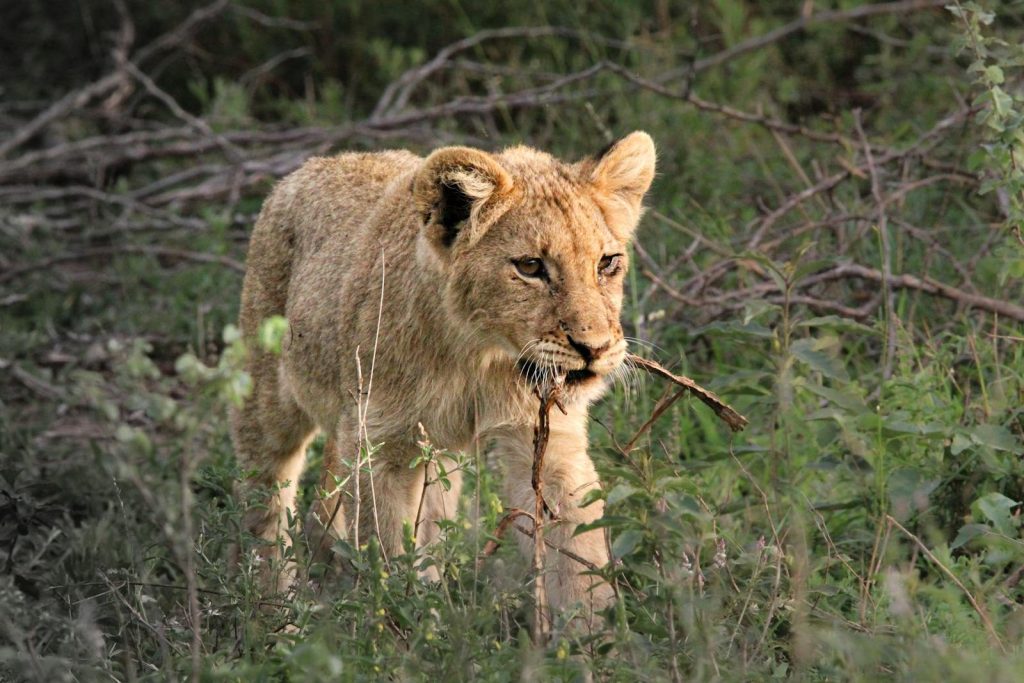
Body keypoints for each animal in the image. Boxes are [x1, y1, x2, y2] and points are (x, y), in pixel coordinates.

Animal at [231, 132, 656, 626]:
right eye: (530, 267)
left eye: (607, 263)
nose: (595, 348)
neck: (478, 356)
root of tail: (319, 163)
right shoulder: (380, 445)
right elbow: (387, 553)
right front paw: (401, 629)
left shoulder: (548, 442)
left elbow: (579, 558)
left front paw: (591, 637)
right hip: (269, 399)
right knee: (264, 502)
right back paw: (271, 616)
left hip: (432, 456)